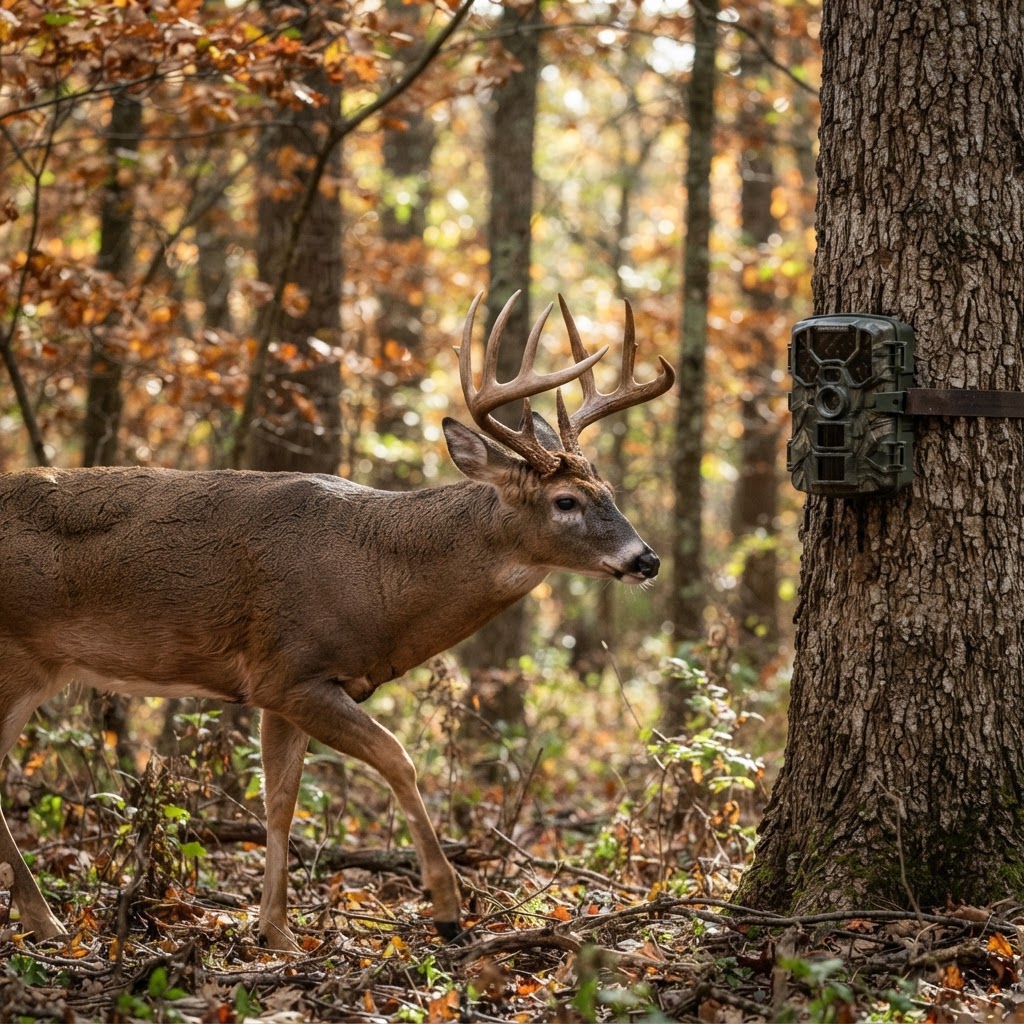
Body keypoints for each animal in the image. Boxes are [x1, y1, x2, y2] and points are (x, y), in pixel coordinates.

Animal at [0, 291, 674, 950]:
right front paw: (448, 910)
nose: (647, 559)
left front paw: (275, 932)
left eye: (609, 491)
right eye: (566, 501)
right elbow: (398, 758)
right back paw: (46, 921)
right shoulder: (292, 672)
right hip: (16, 663)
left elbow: (279, 802)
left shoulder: (276, 689)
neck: (375, 581)